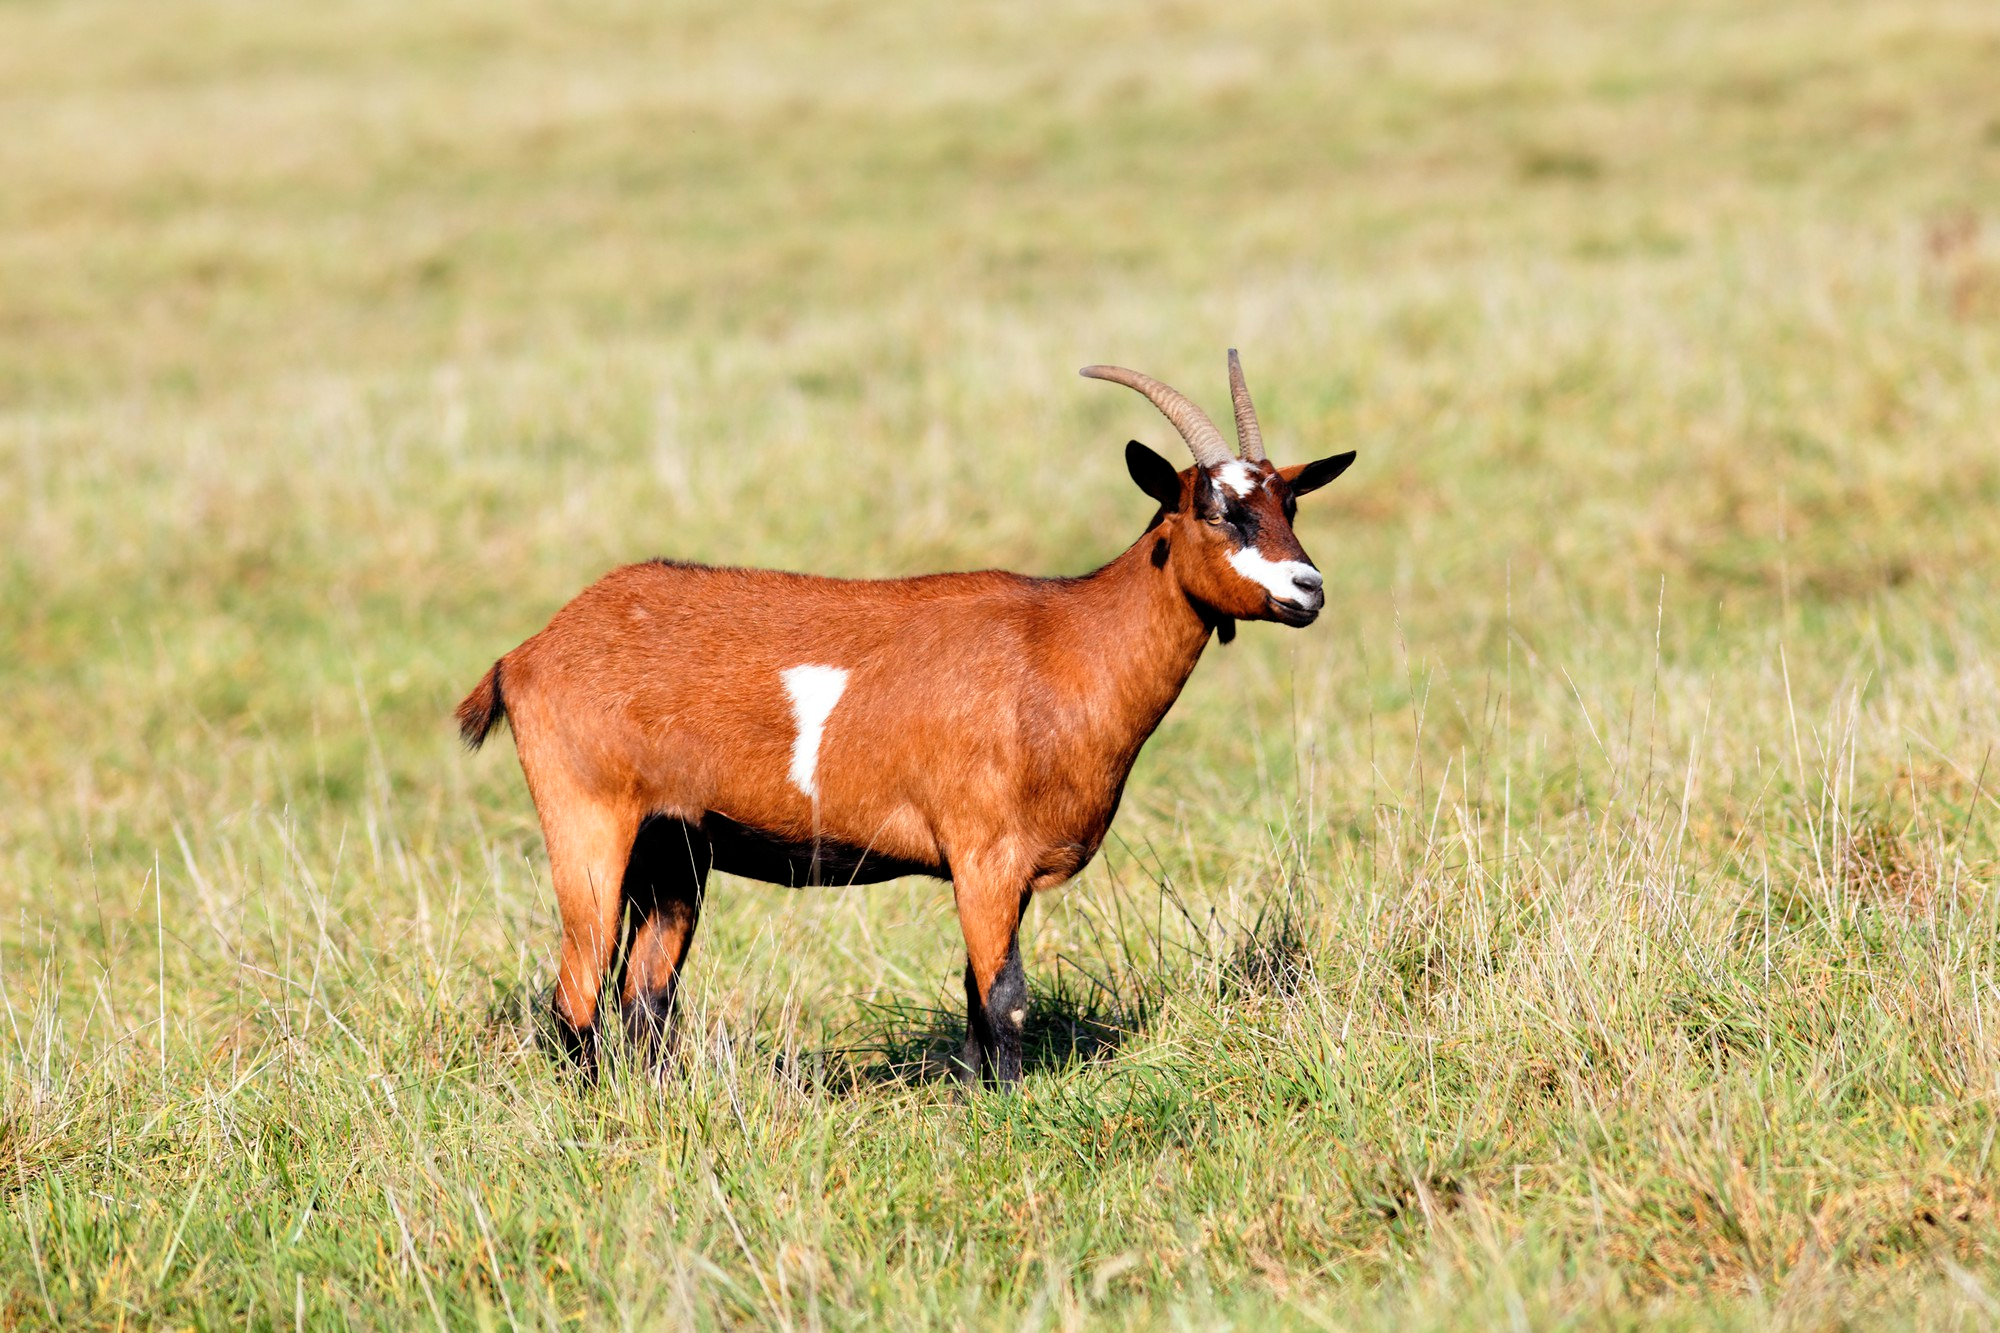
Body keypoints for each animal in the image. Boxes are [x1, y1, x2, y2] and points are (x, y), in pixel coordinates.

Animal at [456, 351, 1355, 1084]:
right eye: (1215, 509)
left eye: (1291, 505)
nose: (1309, 589)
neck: (1065, 644)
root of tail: (528, 653)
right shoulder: (983, 853)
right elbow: (1003, 997)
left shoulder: (998, 871)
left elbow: (975, 995)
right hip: (589, 822)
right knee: (575, 997)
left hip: (674, 849)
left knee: (643, 999)